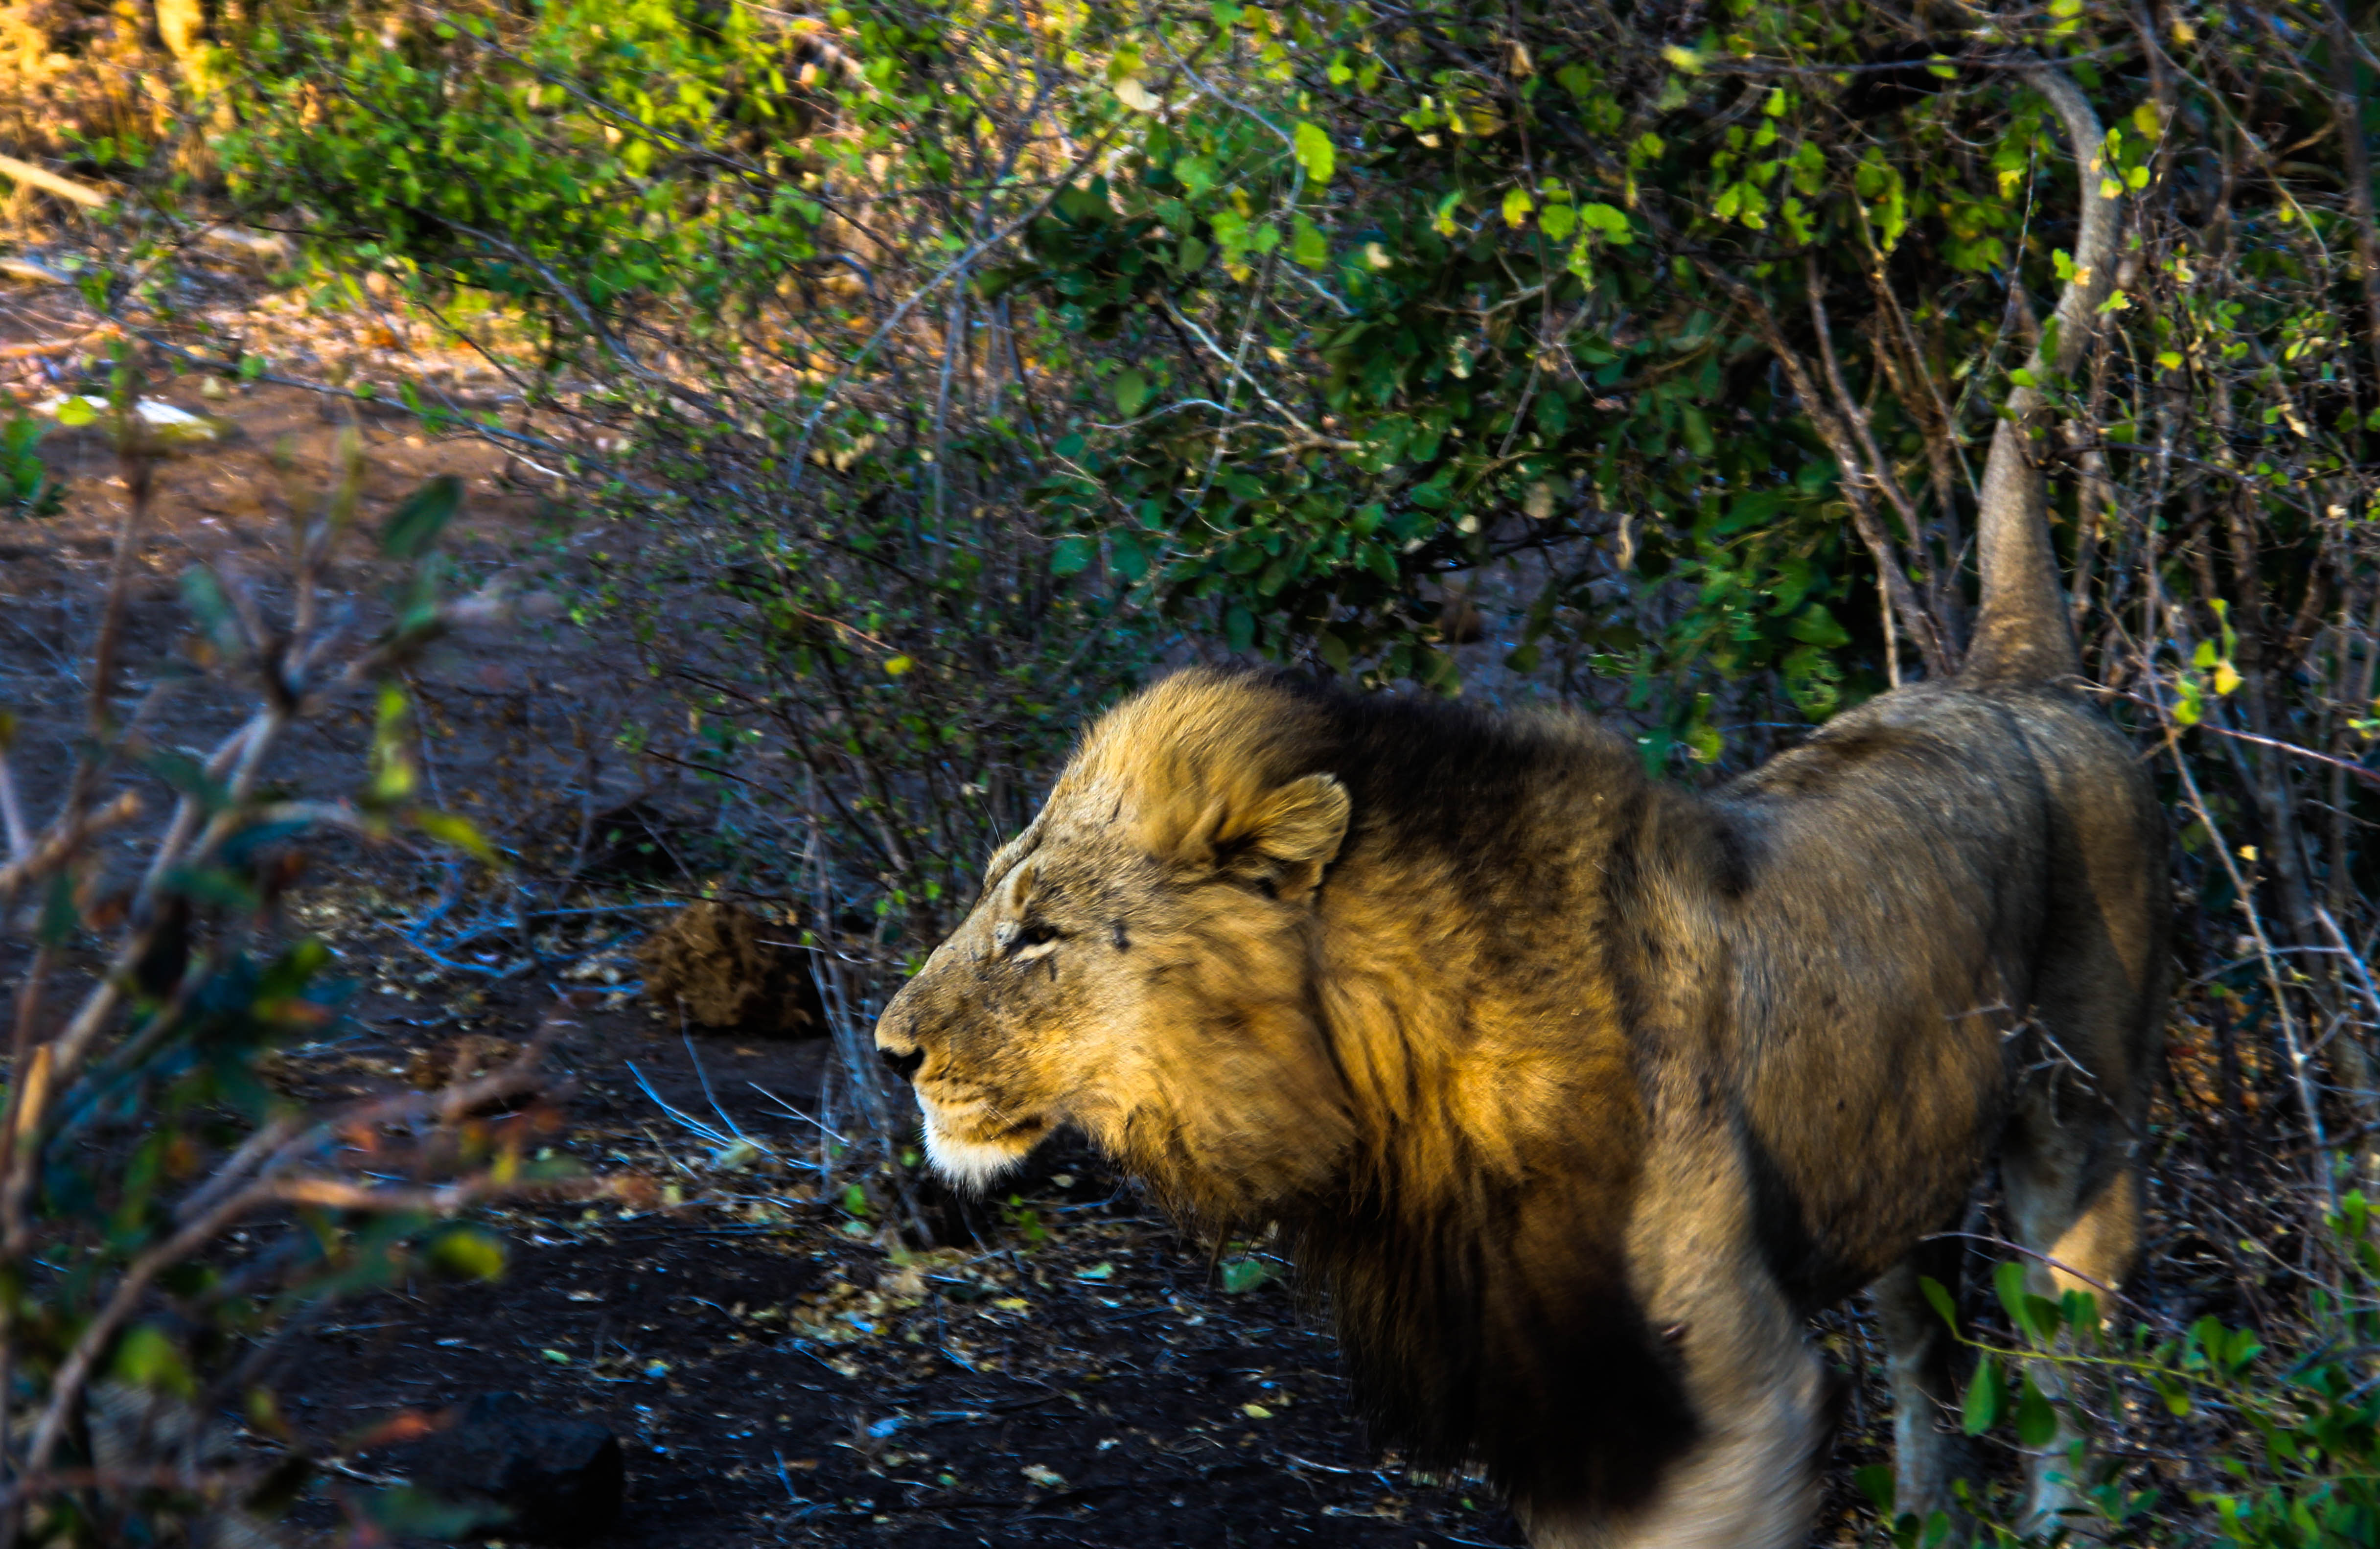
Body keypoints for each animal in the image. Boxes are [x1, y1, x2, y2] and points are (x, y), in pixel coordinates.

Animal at [871, 60, 2161, 1549]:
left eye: (1039, 933)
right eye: (991, 896)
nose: (889, 1051)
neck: (1386, 1095)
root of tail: (2012, 671)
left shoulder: (1729, 1393)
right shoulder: (1547, 1392)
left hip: (2080, 1136)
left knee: (2069, 1378)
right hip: (1903, 1172)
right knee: (1927, 1356)